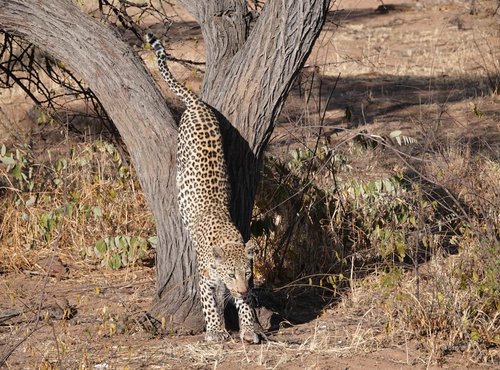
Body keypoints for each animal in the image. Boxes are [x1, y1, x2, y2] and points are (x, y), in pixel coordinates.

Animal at [145, 33, 262, 342]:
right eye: (231, 275)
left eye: (246, 274)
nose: (241, 287)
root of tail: (198, 104)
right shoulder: (205, 278)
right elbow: (209, 303)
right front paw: (215, 331)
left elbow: (245, 305)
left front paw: (248, 329)